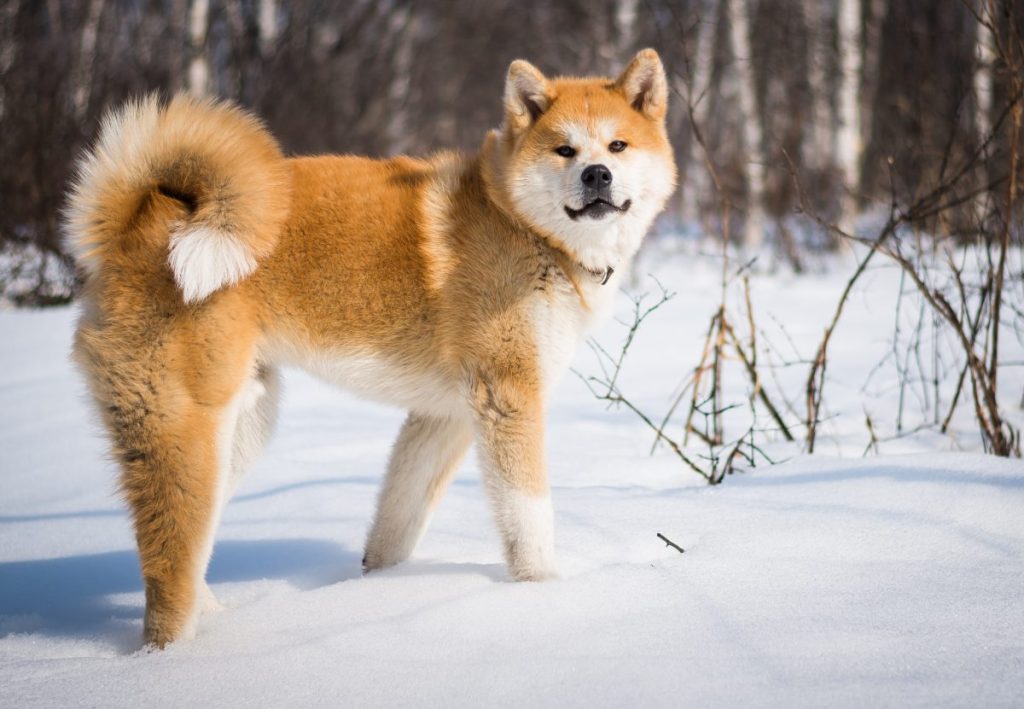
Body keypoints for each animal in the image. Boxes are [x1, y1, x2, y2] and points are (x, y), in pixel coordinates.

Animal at [61, 51, 671, 647]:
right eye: (564, 149)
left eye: (617, 145)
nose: (597, 174)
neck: (519, 223)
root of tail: (132, 221)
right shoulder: (507, 399)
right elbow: (530, 518)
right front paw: (544, 594)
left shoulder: (444, 416)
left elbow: (397, 520)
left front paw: (375, 588)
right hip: (186, 433)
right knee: (169, 572)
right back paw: (172, 654)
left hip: (241, 429)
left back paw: (214, 614)